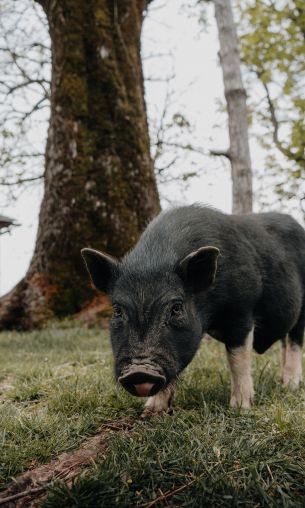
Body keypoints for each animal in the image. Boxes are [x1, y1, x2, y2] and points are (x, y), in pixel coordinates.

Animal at [81, 204, 304, 414]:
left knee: (295, 341)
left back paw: (290, 386)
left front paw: (241, 408)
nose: (139, 371)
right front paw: (150, 412)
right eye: (117, 310)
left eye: (177, 308)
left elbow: (237, 359)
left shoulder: (242, 310)